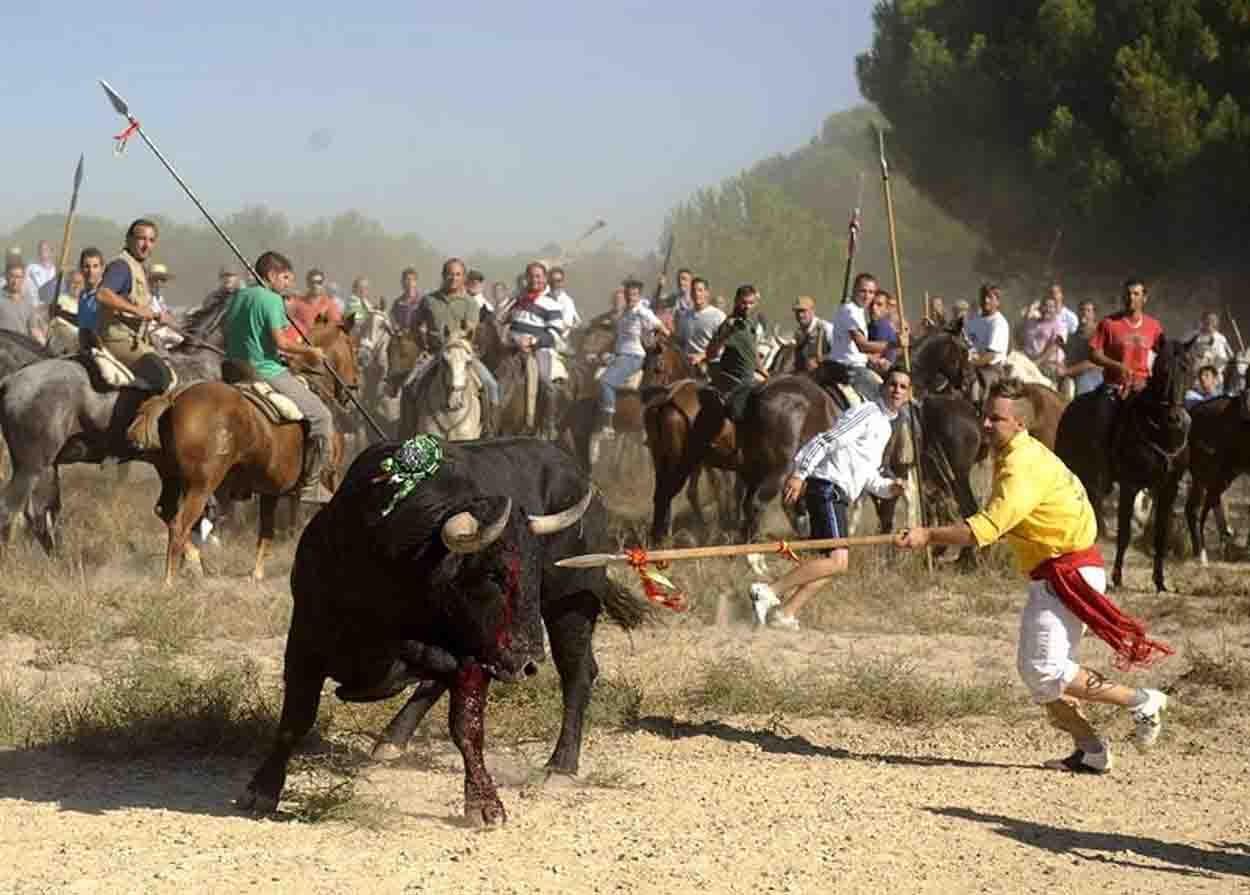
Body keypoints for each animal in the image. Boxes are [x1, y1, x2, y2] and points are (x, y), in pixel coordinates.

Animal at [148, 318, 362, 585]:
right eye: (352, 346)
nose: (355, 385)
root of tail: (173, 401)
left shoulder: (272, 489)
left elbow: (268, 531)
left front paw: (257, 573)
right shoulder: (327, 476)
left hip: (174, 479)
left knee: (166, 513)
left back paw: (195, 564)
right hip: (201, 485)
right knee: (180, 524)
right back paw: (170, 580)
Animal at [243, 437, 655, 820]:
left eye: (535, 572)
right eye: (493, 575)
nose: (528, 660)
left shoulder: (476, 653)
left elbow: (466, 725)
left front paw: (484, 803)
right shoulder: (305, 637)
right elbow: (295, 719)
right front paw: (262, 788)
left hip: (569, 611)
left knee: (578, 673)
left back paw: (561, 766)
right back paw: (392, 739)